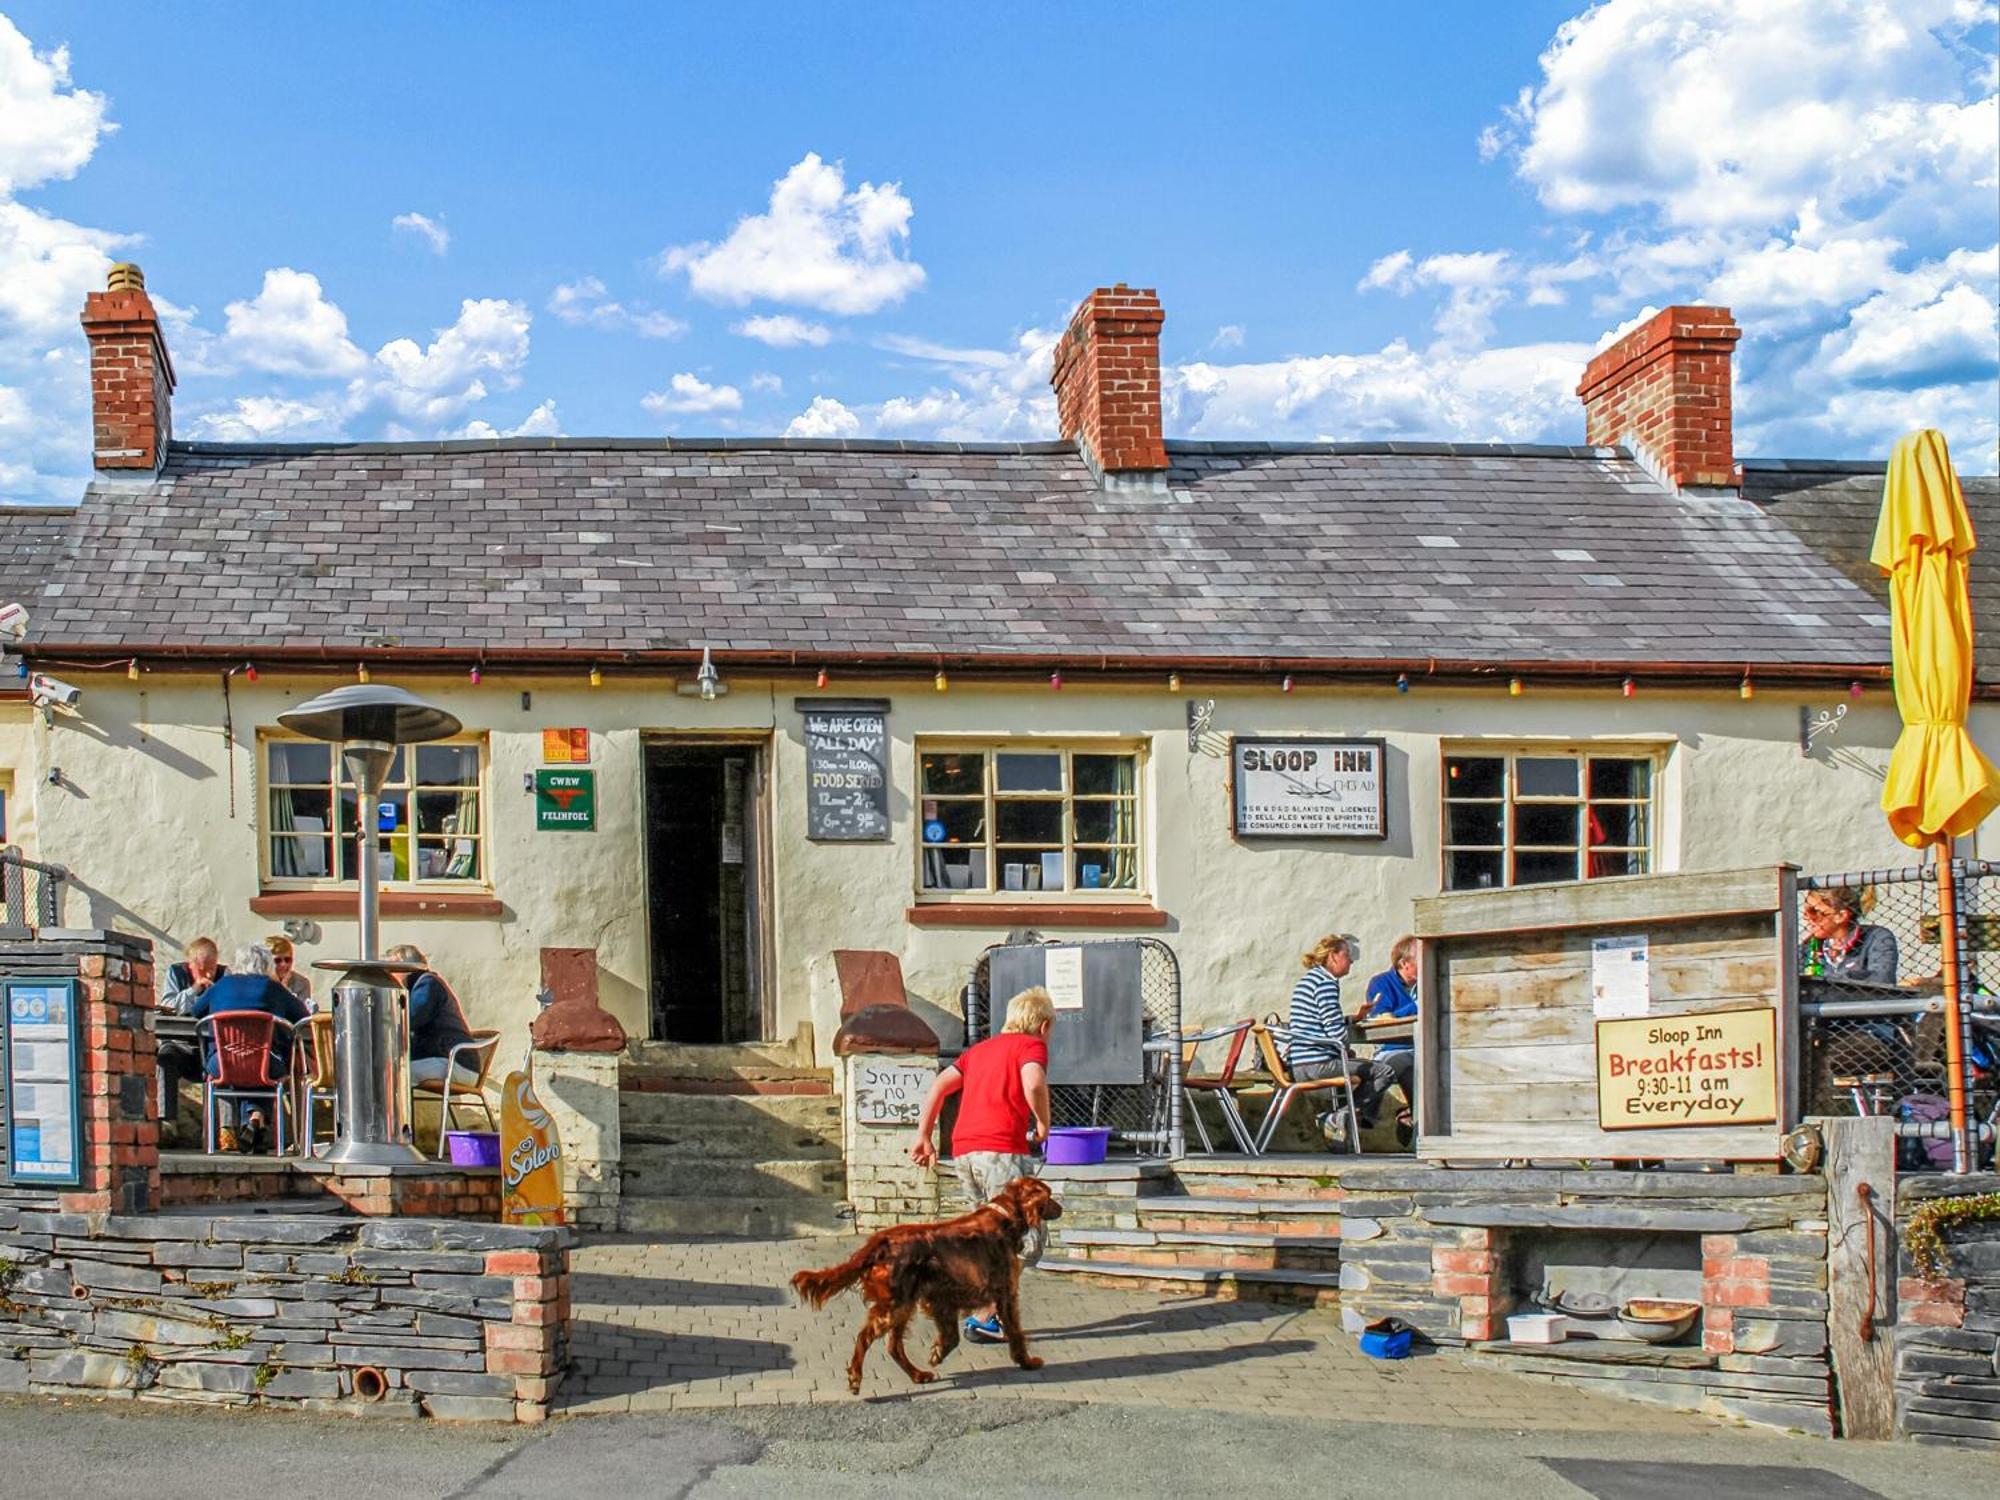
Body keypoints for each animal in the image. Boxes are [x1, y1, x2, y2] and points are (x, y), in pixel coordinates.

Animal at [788, 1176, 1064, 1400]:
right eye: (1048, 1195)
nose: (1061, 1208)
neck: (1005, 1216)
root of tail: (882, 1241)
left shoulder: (944, 1298)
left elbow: (951, 1337)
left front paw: (937, 1353)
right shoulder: (1005, 1292)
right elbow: (1016, 1333)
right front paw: (1027, 1361)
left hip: (903, 1304)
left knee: (893, 1346)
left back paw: (918, 1375)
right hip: (895, 1304)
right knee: (864, 1337)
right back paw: (856, 1379)